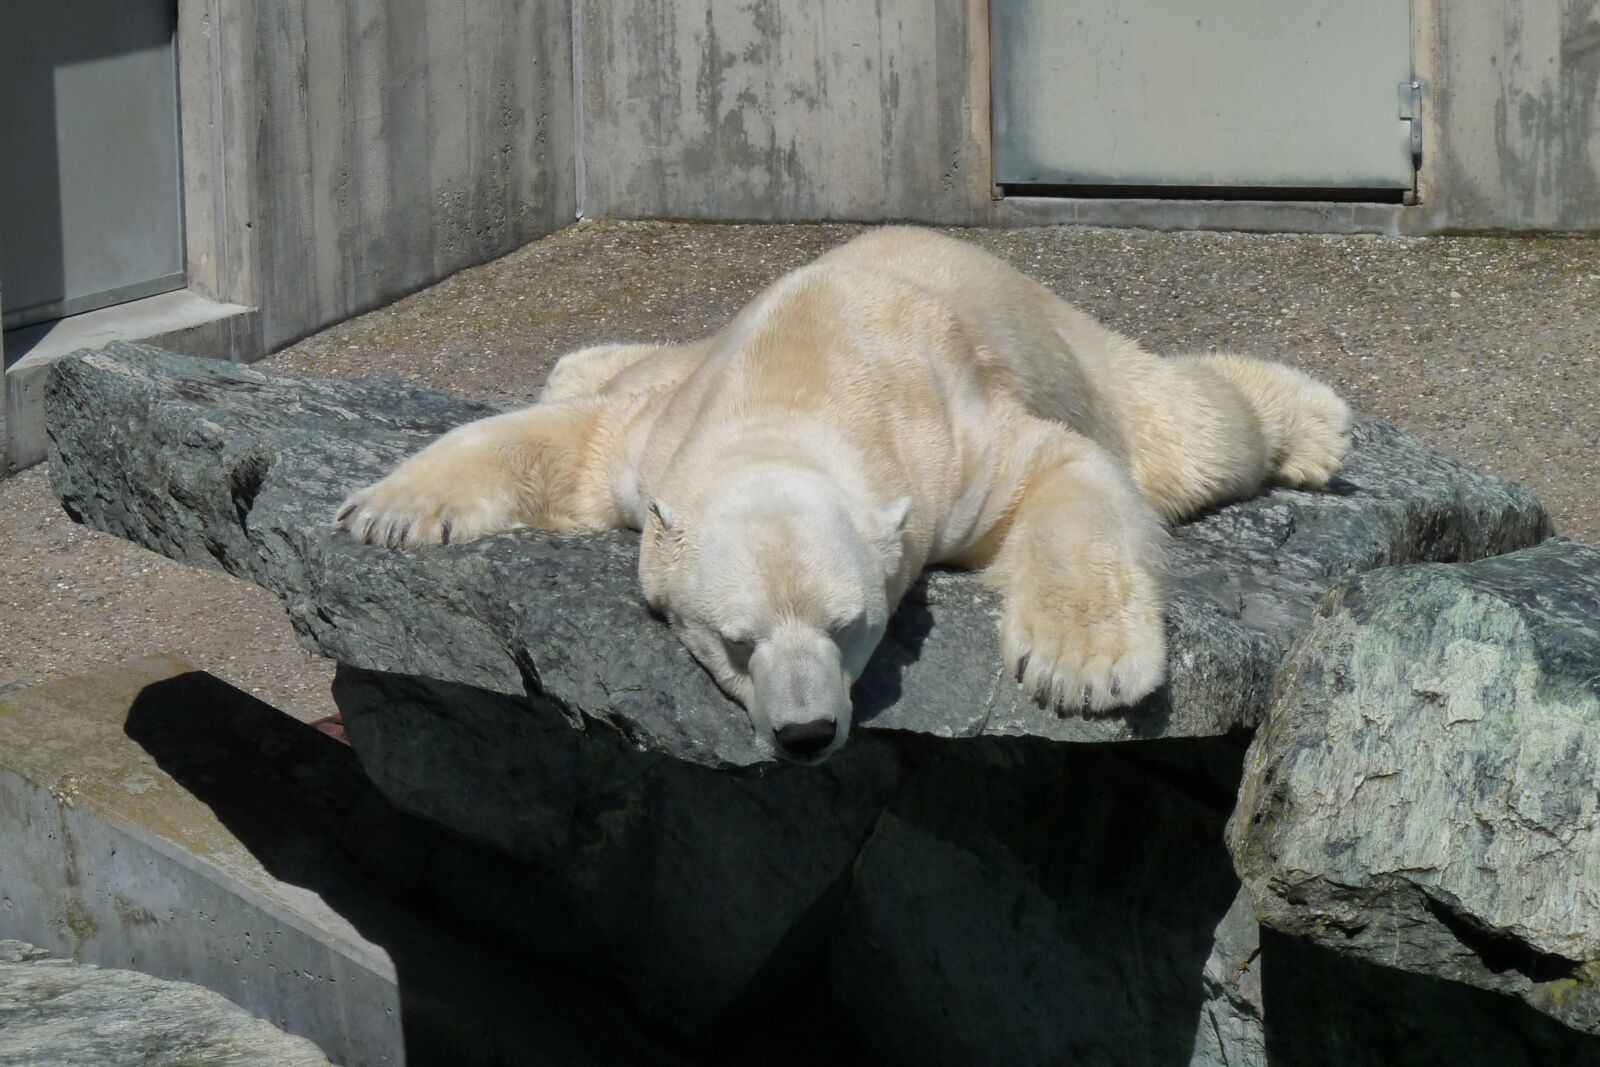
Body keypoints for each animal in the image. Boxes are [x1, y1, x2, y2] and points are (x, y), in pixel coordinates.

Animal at [337, 227, 1350, 758]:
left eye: (850, 625)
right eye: (737, 641)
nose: (806, 732)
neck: (798, 389)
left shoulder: (951, 452)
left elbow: (1062, 474)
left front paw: (1080, 667)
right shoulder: (664, 440)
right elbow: (562, 446)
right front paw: (385, 509)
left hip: (1071, 346)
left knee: (1188, 431)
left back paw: (1317, 426)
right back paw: (577, 361)